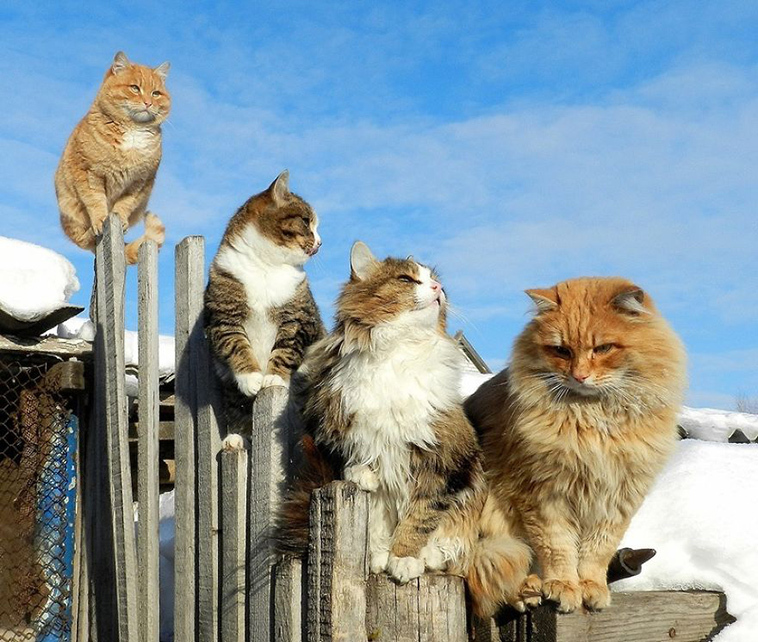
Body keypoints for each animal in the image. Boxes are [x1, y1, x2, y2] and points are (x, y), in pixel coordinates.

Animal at [55, 50, 171, 264]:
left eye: (156, 93)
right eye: (135, 88)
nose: (148, 103)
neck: (133, 131)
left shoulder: (140, 183)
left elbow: (123, 205)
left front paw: (120, 219)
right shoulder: (88, 173)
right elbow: (96, 201)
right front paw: (100, 219)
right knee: (82, 239)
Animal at [278, 241, 536, 616]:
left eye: (436, 281)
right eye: (407, 279)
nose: (438, 289)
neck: (398, 351)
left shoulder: (442, 460)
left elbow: (421, 515)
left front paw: (403, 558)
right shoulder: (332, 422)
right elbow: (357, 468)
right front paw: (365, 483)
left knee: (454, 552)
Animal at [466, 278, 692, 612]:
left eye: (603, 348)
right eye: (561, 350)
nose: (580, 376)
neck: (594, 419)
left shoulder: (616, 499)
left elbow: (596, 553)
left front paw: (591, 587)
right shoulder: (544, 495)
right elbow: (557, 548)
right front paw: (563, 586)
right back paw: (528, 590)